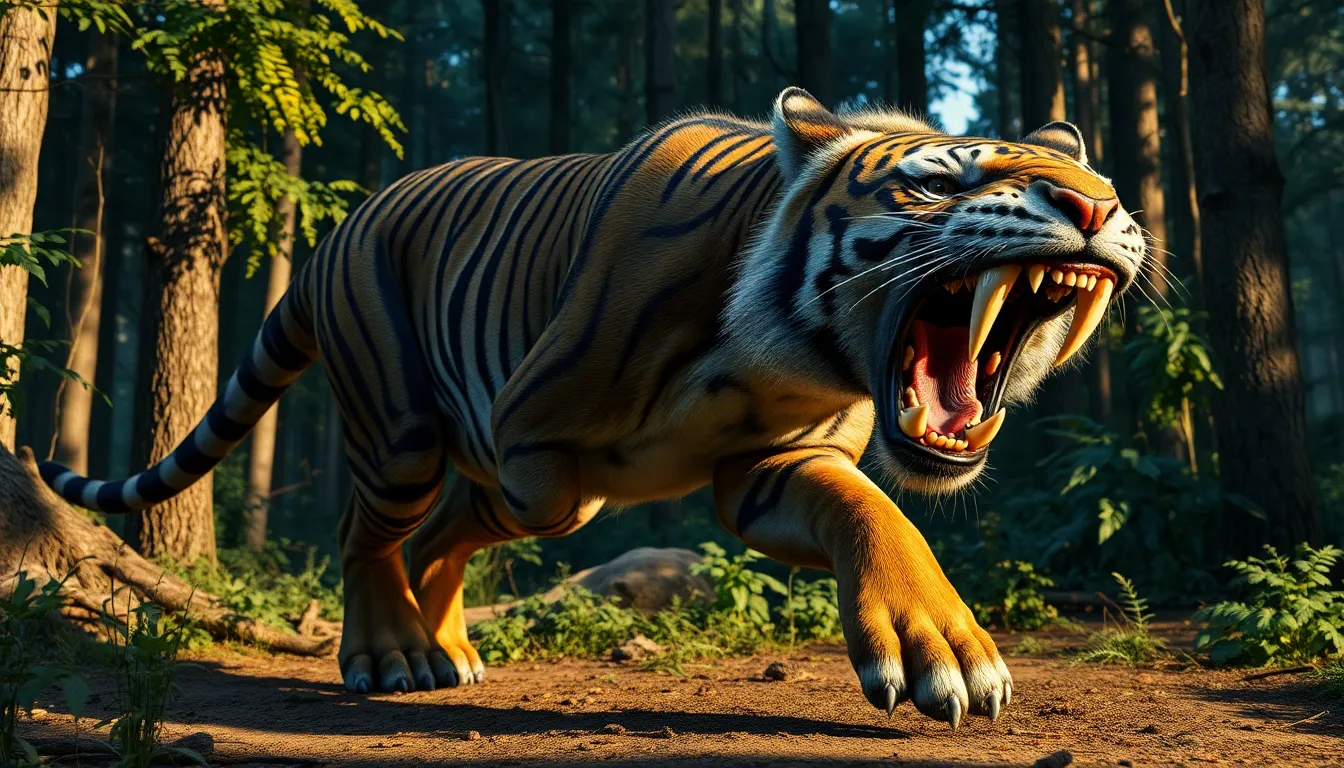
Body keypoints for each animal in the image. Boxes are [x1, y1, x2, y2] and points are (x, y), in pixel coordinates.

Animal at [38, 87, 1144, 728]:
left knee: (440, 534)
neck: (784, 360)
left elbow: (876, 512)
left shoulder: (773, 468)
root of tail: (328, 241)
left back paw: (443, 650)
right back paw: (390, 655)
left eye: (1093, 178)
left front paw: (943, 646)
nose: (1097, 207)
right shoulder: (535, 444)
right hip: (402, 436)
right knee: (373, 531)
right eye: (936, 182)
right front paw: (945, 656)